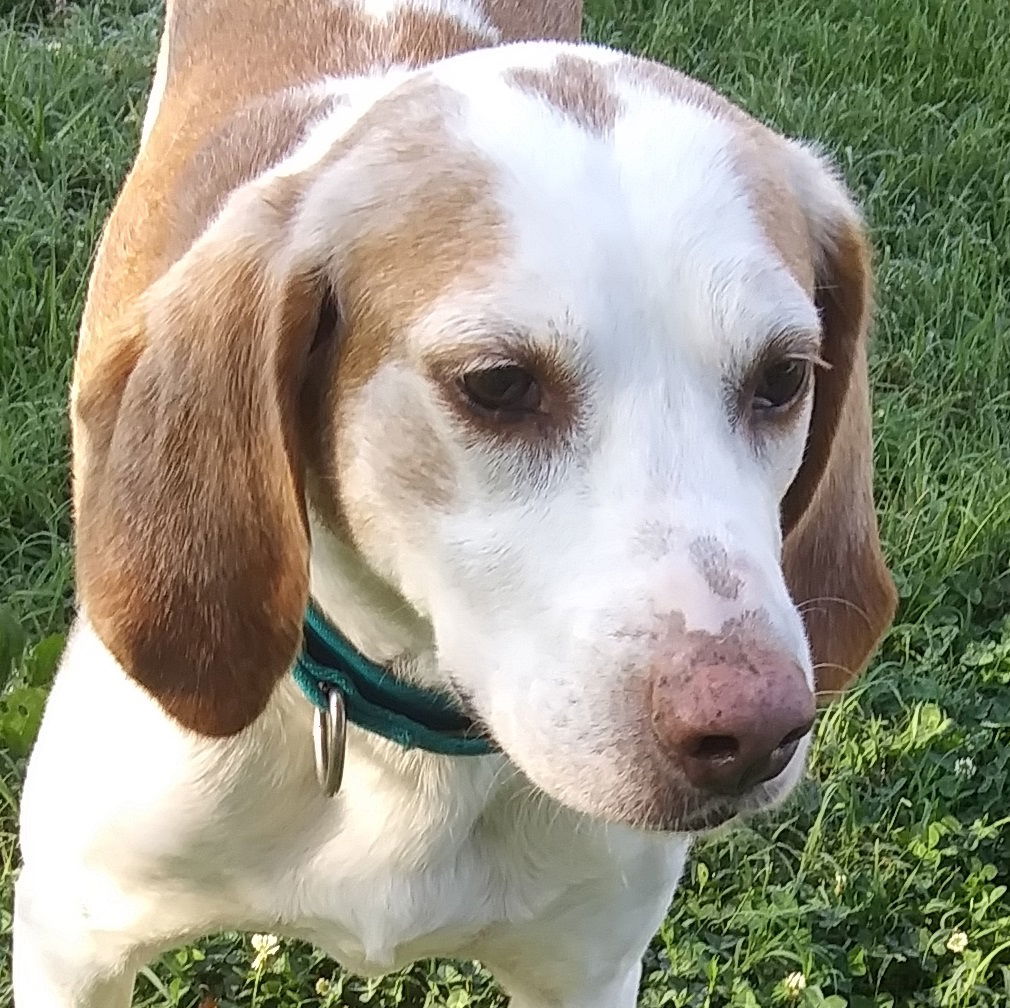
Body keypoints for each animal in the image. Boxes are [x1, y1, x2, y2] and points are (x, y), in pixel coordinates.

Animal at [13, 0, 892, 1005]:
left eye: (785, 377)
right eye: (499, 384)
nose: (755, 732)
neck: (408, 752)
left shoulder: (589, 968)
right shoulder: (69, 940)